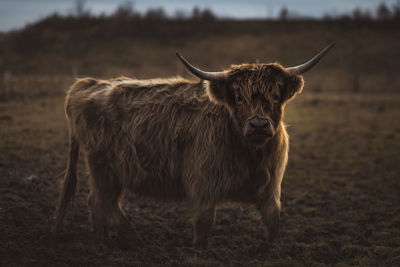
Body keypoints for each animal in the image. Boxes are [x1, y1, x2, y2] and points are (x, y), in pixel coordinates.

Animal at [54, 44, 334, 249]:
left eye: (276, 96)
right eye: (238, 97)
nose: (258, 125)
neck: (250, 155)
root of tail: (89, 83)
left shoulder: (271, 185)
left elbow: (273, 217)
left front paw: (274, 247)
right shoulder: (203, 184)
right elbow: (204, 222)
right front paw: (200, 249)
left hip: (116, 171)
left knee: (106, 202)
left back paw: (122, 238)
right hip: (103, 168)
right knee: (99, 201)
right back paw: (108, 241)